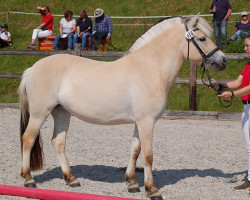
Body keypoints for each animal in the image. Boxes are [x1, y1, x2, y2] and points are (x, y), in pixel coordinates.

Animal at [19, 14, 227, 199]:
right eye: (202, 38)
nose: (223, 60)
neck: (149, 69)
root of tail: (32, 69)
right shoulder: (146, 121)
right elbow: (148, 155)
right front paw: (152, 190)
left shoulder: (140, 122)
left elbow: (135, 150)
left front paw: (132, 183)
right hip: (39, 113)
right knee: (28, 139)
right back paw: (29, 180)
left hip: (62, 113)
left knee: (58, 142)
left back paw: (71, 179)